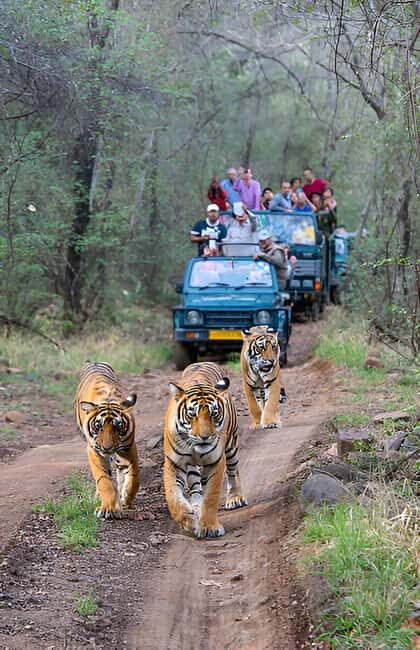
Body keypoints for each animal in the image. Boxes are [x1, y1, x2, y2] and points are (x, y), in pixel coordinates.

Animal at [74, 362, 140, 520]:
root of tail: (94, 362)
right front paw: (109, 508)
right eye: (99, 427)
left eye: (118, 427)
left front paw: (126, 497)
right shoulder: (94, 450)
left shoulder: (128, 447)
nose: (107, 447)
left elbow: (135, 475)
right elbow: (104, 480)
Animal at [163, 361, 247, 539]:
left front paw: (210, 527)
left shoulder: (215, 462)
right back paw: (195, 507)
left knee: (233, 471)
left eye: (214, 414)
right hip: (192, 466)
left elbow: (211, 497)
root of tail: (202, 361)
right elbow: (172, 496)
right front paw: (188, 521)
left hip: (231, 445)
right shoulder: (174, 463)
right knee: (195, 486)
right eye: (192, 414)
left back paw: (235, 497)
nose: (205, 437)